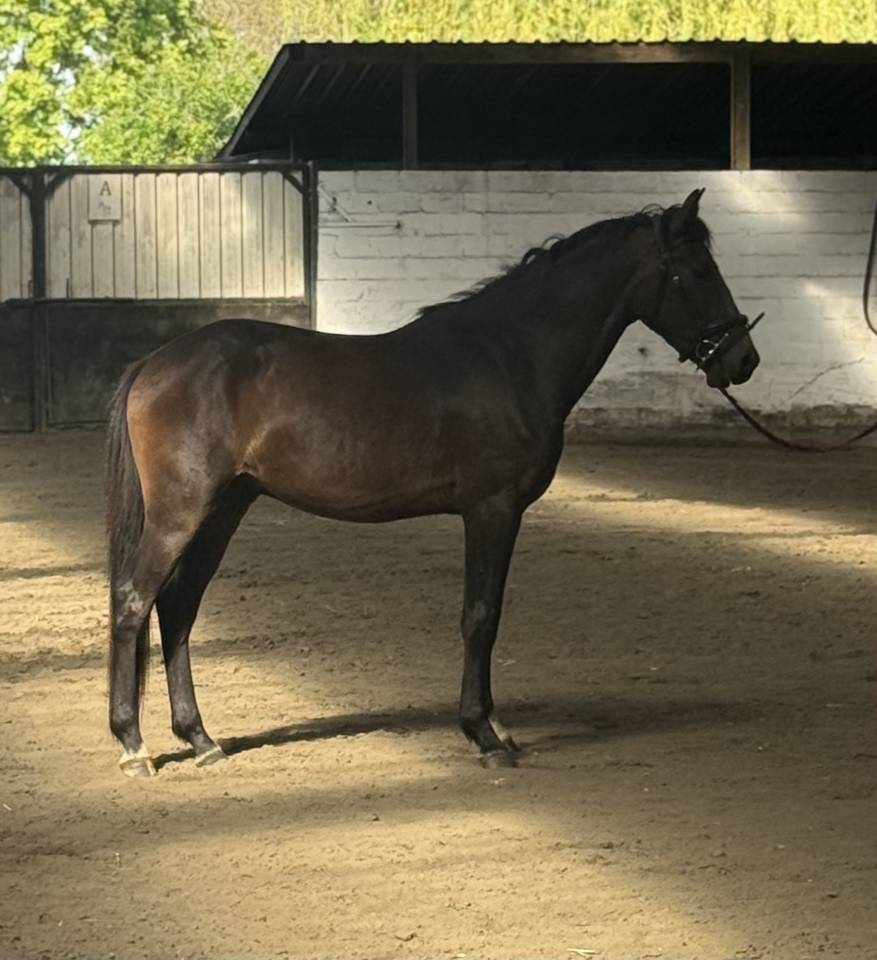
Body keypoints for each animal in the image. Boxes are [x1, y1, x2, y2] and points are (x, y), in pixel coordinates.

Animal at [106, 188, 761, 778]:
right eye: (699, 270)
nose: (743, 359)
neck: (511, 355)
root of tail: (153, 363)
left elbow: (487, 614)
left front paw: (495, 727)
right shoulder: (493, 510)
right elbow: (481, 615)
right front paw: (484, 735)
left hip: (226, 508)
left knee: (180, 605)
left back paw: (200, 739)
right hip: (183, 511)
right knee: (135, 600)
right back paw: (135, 746)